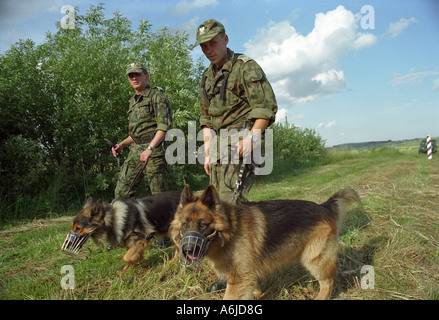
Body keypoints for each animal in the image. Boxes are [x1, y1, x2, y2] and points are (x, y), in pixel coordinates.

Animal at [170, 184, 362, 298]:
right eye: (185, 224)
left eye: (203, 225)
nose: (188, 250)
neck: (231, 230)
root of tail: (324, 206)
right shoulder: (247, 275)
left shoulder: (239, 278)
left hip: (315, 259)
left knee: (328, 281)